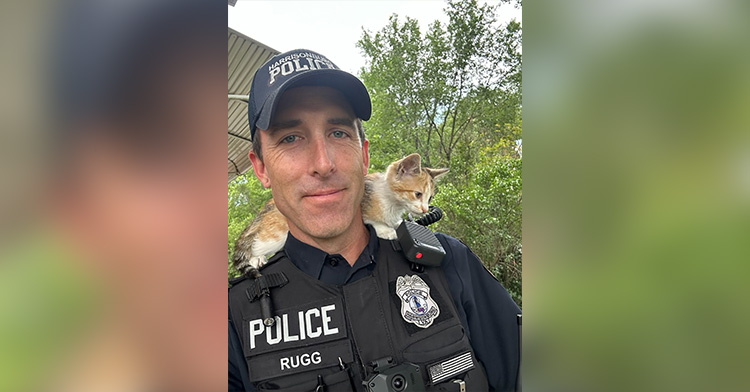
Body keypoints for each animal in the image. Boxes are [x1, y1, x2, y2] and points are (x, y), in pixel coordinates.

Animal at [232, 152, 450, 278]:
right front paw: (387, 230)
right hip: (279, 232)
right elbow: (372, 220)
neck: (391, 200)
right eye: (418, 194)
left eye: (429, 198)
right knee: (258, 242)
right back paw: (256, 259)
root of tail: (265, 208)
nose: (424, 210)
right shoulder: (356, 208)